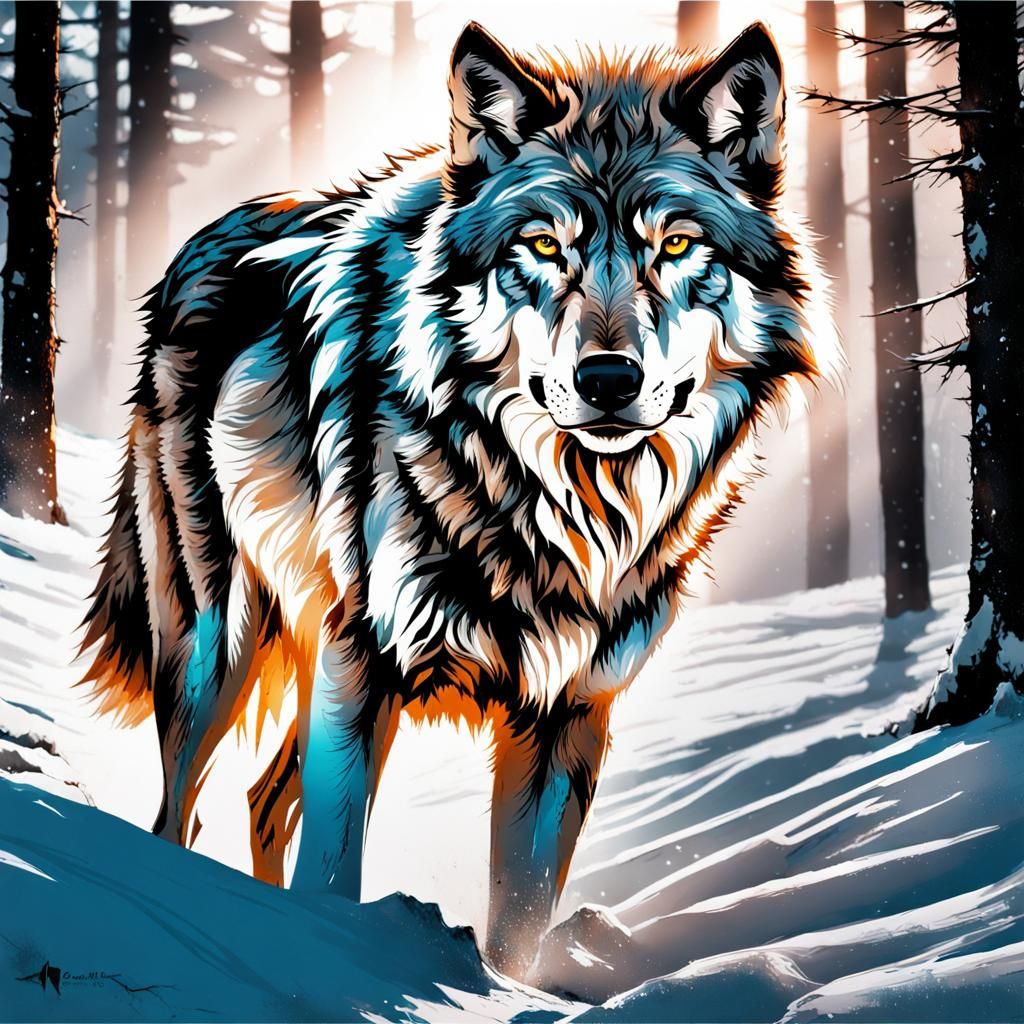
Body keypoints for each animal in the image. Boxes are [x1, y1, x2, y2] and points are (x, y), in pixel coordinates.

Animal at [81, 21, 837, 977]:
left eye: (675, 246)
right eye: (545, 247)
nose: (609, 380)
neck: (560, 507)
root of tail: (199, 239)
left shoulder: (568, 711)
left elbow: (519, 920)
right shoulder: (364, 659)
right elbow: (334, 870)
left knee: (261, 799)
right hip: (218, 649)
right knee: (174, 816)